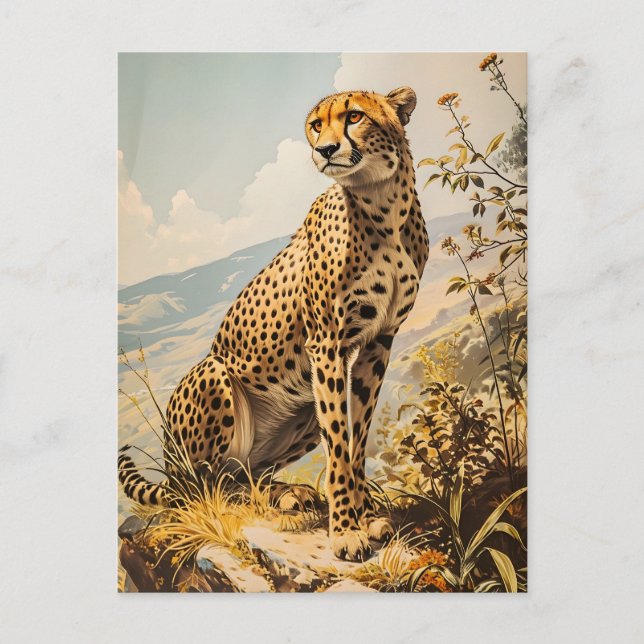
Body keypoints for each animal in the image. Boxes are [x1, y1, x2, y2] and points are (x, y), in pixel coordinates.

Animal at [119, 86, 429, 561]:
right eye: (316, 125)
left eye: (354, 117)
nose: (325, 150)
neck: (382, 203)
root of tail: (172, 470)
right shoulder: (327, 344)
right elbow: (340, 445)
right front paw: (345, 531)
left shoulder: (379, 341)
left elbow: (355, 438)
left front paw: (365, 516)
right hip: (215, 376)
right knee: (207, 488)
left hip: (301, 411)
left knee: (245, 473)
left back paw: (284, 492)